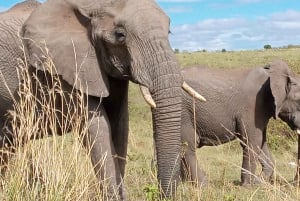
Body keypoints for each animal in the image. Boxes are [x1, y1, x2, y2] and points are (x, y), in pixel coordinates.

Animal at [0, 0, 204, 199]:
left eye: (168, 31)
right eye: (120, 35)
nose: (162, 194)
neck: (89, 6)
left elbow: (120, 125)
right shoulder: (67, 67)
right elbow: (98, 128)